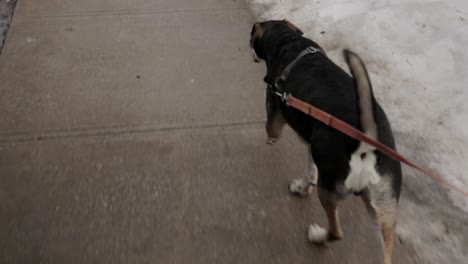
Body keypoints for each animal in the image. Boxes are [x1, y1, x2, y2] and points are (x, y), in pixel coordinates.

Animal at [250, 20, 400, 264]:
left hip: (329, 190)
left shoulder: (274, 107)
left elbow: (271, 130)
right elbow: (310, 168)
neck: (289, 42)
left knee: (336, 232)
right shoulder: (314, 143)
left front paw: (269, 139)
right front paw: (302, 187)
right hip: (383, 208)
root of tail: (365, 142)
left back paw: (317, 236)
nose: (251, 52)